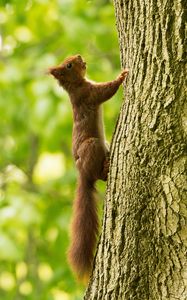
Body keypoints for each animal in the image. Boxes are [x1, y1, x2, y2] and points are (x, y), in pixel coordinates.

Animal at [48, 55, 129, 282]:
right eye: (68, 65)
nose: (79, 56)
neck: (75, 86)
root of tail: (82, 173)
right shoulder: (89, 94)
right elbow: (106, 91)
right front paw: (122, 76)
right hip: (92, 146)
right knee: (99, 176)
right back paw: (106, 168)